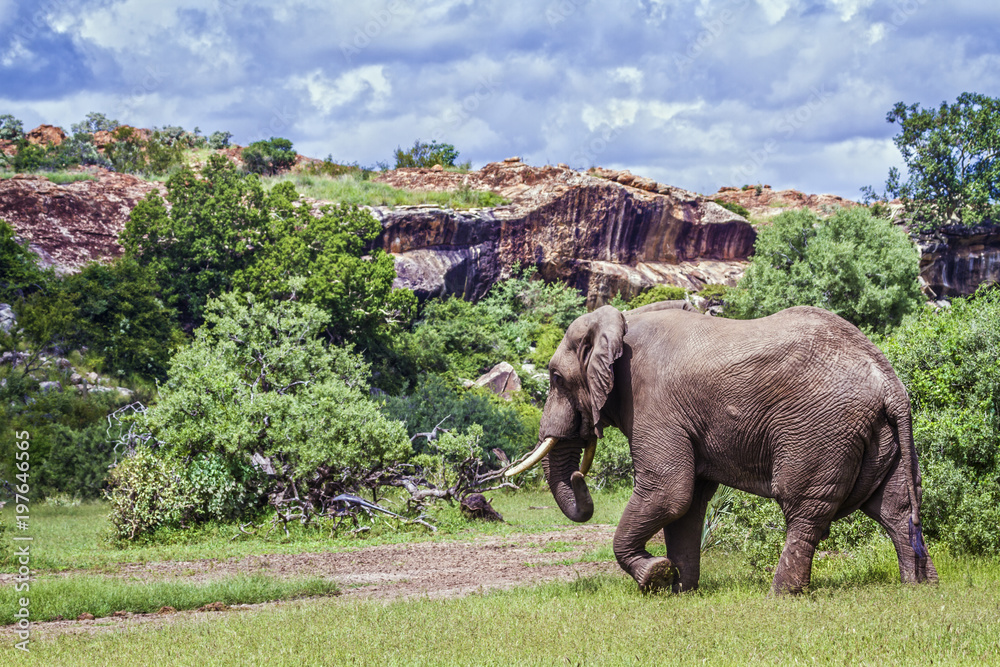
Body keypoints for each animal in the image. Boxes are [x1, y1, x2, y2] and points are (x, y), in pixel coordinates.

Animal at [507, 304, 937, 595]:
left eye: (555, 378)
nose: (579, 475)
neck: (622, 320)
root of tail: (889, 382)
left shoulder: (654, 402)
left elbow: (669, 490)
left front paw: (656, 576)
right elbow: (688, 502)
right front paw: (680, 589)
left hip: (822, 428)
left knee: (804, 507)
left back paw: (782, 595)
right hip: (883, 436)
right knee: (895, 508)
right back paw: (919, 587)